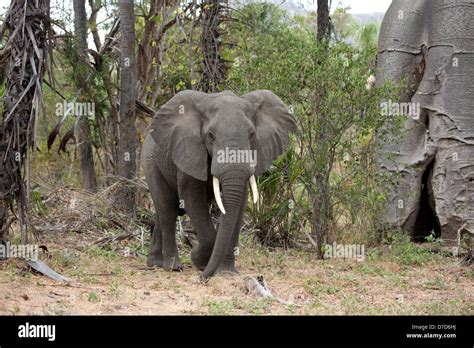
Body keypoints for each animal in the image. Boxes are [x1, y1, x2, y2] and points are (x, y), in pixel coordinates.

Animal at [141, 89, 296, 280]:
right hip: (150, 162)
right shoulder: (189, 151)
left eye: (252, 134)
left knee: (163, 211)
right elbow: (191, 198)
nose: (202, 279)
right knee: (167, 209)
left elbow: (238, 203)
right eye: (210, 135)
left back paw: (154, 263)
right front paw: (199, 260)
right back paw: (172, 266)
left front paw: (226, 272)